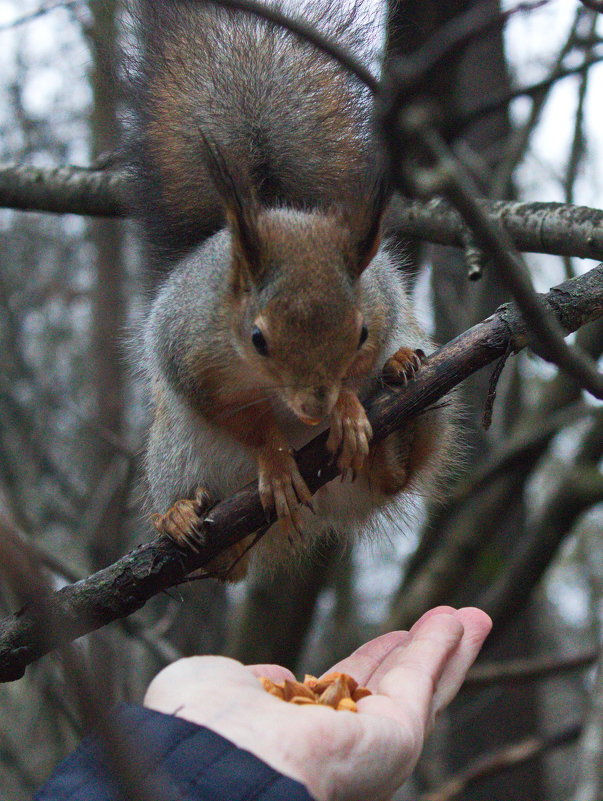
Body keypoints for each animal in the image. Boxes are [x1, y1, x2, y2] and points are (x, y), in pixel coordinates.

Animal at [130, 0, 456, 576]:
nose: (315, 409)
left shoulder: (381, 305)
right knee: (224, 568)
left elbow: (357, 372)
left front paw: (348, 410)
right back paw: (182, 517)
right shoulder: (189, 355)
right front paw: (278, 462)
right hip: (177, 453)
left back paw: (395, 400)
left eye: (359, 333)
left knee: (394, 480)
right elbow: (241, 421)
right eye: (258, 339)